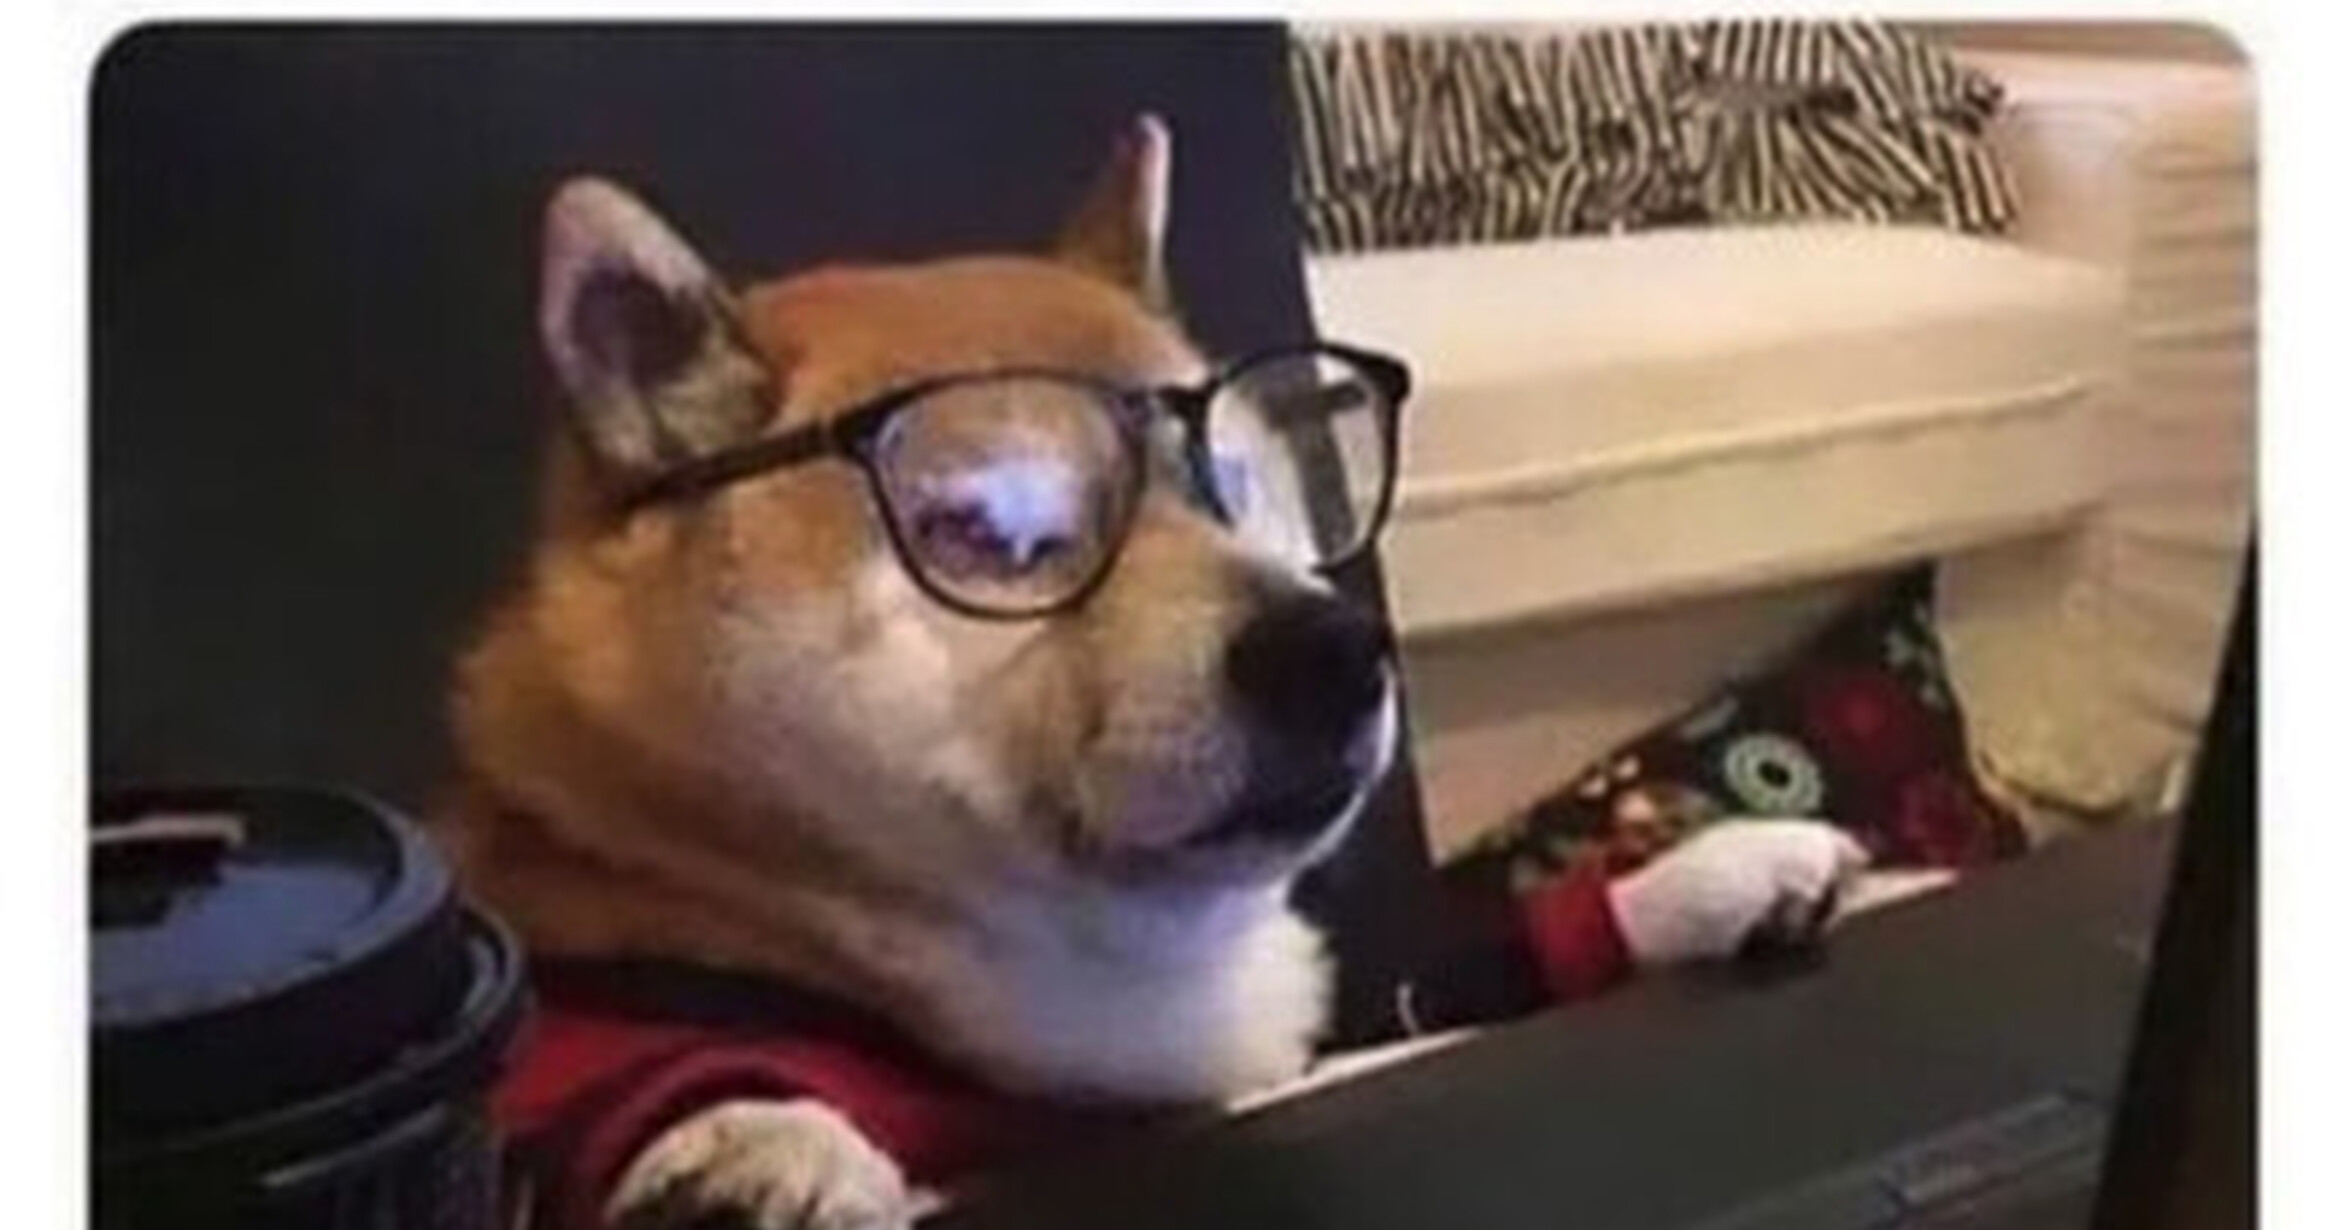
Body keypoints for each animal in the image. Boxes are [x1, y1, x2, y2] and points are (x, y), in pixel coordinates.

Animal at [437, 115, 1866, 1230]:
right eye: (995, 535)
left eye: (1235, 491)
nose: (1337, 647)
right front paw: (750, 1148)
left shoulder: (1336, 1001)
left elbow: (1450, 957)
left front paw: (1703, 877)